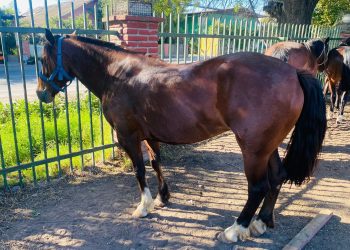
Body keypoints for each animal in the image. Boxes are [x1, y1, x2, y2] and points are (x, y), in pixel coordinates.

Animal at [37, 28, 326, 242]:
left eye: (41, 59)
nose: (41, 94)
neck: (117, 75)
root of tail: (292, 72)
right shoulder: (150, 134)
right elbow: (156, 163)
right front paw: (163, 197)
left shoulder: (128, 136)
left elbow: (139, 170)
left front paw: (143, 206)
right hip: (268, 146)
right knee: (277, 177)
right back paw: (262, 222)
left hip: (253, 149)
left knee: (258, 187)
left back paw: (237, 229)